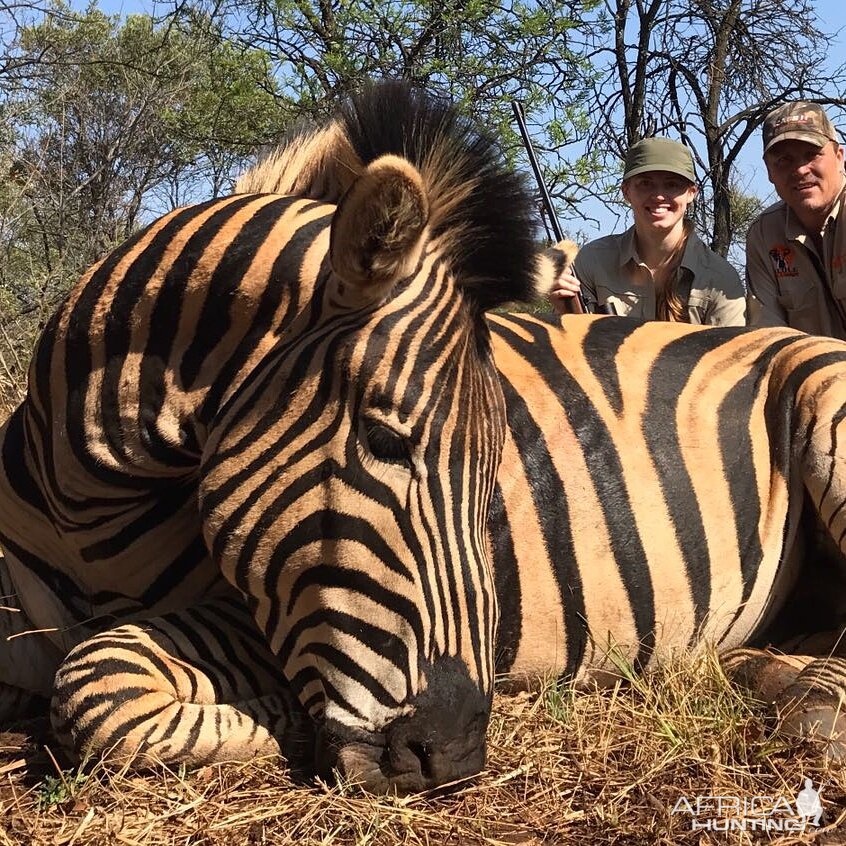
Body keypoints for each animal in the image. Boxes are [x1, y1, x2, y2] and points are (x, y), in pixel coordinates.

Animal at [0, 79, 540, 796]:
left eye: (495, 473)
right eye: (384, 441)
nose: (454, 757)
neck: (81, 508)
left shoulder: (248, 613)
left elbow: (101, 684)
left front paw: (277, 714)